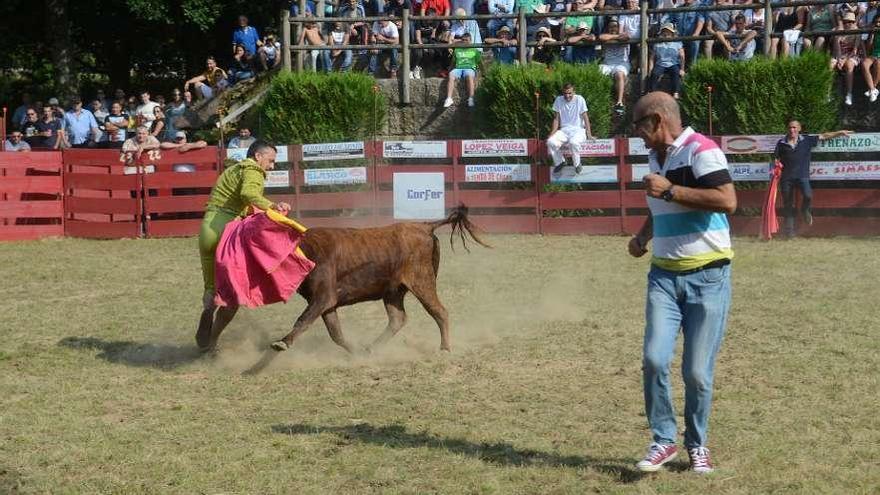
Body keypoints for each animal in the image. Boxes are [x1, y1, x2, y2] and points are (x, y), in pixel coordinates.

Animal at [210, 204, 492, 352]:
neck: (305, 249)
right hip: (392, 290)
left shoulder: (323, 297)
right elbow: (335, 332)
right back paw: (371, 348)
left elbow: (303, 320)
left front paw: (282, 343)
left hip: (422, 281)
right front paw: (354, 351)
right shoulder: (326, 304)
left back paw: (444, 348)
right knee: (398, 318)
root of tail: (424, 226)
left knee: (439, 311)